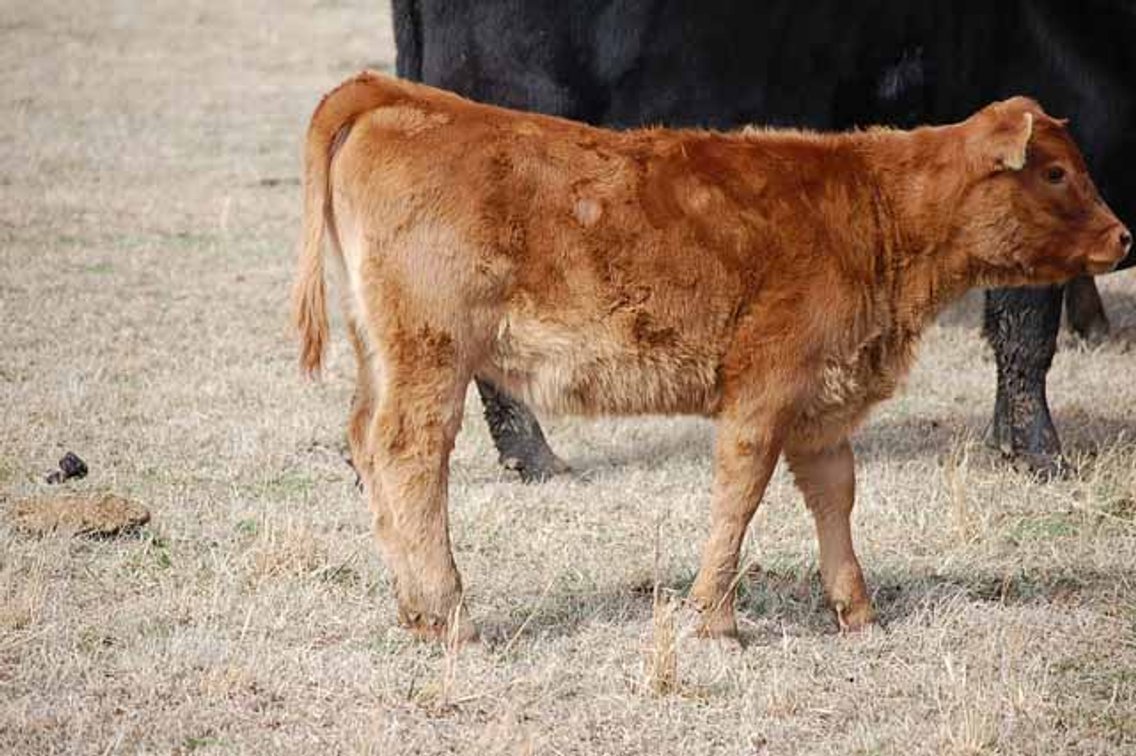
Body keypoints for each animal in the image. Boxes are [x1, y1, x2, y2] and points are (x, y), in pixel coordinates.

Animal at [293, 72, 1130, 640]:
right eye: (1056, 171)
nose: (1123, 236)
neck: (875, 209)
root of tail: (404, 96)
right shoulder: (764, 391)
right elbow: (740, 493)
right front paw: (716, 618)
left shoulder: (823, 403)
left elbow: (834, 494)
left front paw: (856, 610)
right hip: (430, 356)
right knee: (410, 455)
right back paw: (450, 614)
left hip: (383, 356)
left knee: (366, 443)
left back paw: (413, 609)